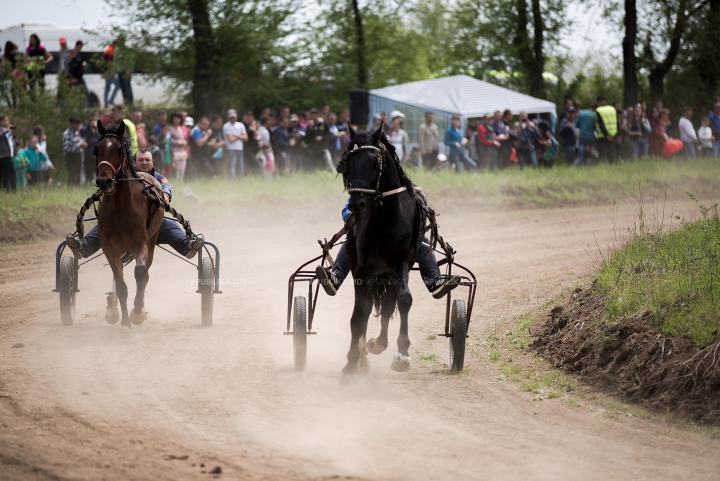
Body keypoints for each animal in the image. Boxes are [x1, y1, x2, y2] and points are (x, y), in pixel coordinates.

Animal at [94, 120, 163, 328]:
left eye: (119, 149)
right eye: (97, 149)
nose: (104, 180)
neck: (120, 207)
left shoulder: (140, 242)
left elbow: (140, 272)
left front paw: (137, 311)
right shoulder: (109, 247)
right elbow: (120, 283)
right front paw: (124, 322)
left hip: (152, 239)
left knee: (145, 272)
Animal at [336, 125, 422, 374]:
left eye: (375, 162)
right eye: (348, 162)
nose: (356, 204)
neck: (386, 218)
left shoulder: (401, 262)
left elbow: (402, 300)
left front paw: (402, 354)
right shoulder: (362, 269)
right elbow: (359, 315)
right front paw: (352, 360)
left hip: (388, 272)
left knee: (389, 303)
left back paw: (378, 344)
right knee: (365, 310)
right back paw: (361, 356)